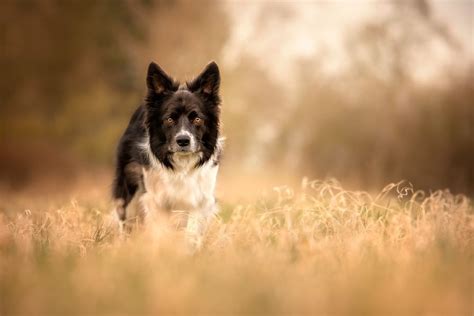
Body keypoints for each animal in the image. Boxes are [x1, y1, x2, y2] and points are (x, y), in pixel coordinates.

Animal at [112, 61, 223, 249]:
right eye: (170, 119)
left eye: (197, 119)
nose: (183, 140)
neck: (182, 164)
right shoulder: (156, 199)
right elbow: (160, 231)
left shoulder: (199, 199)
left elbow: (191, 232)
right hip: (128, 186)